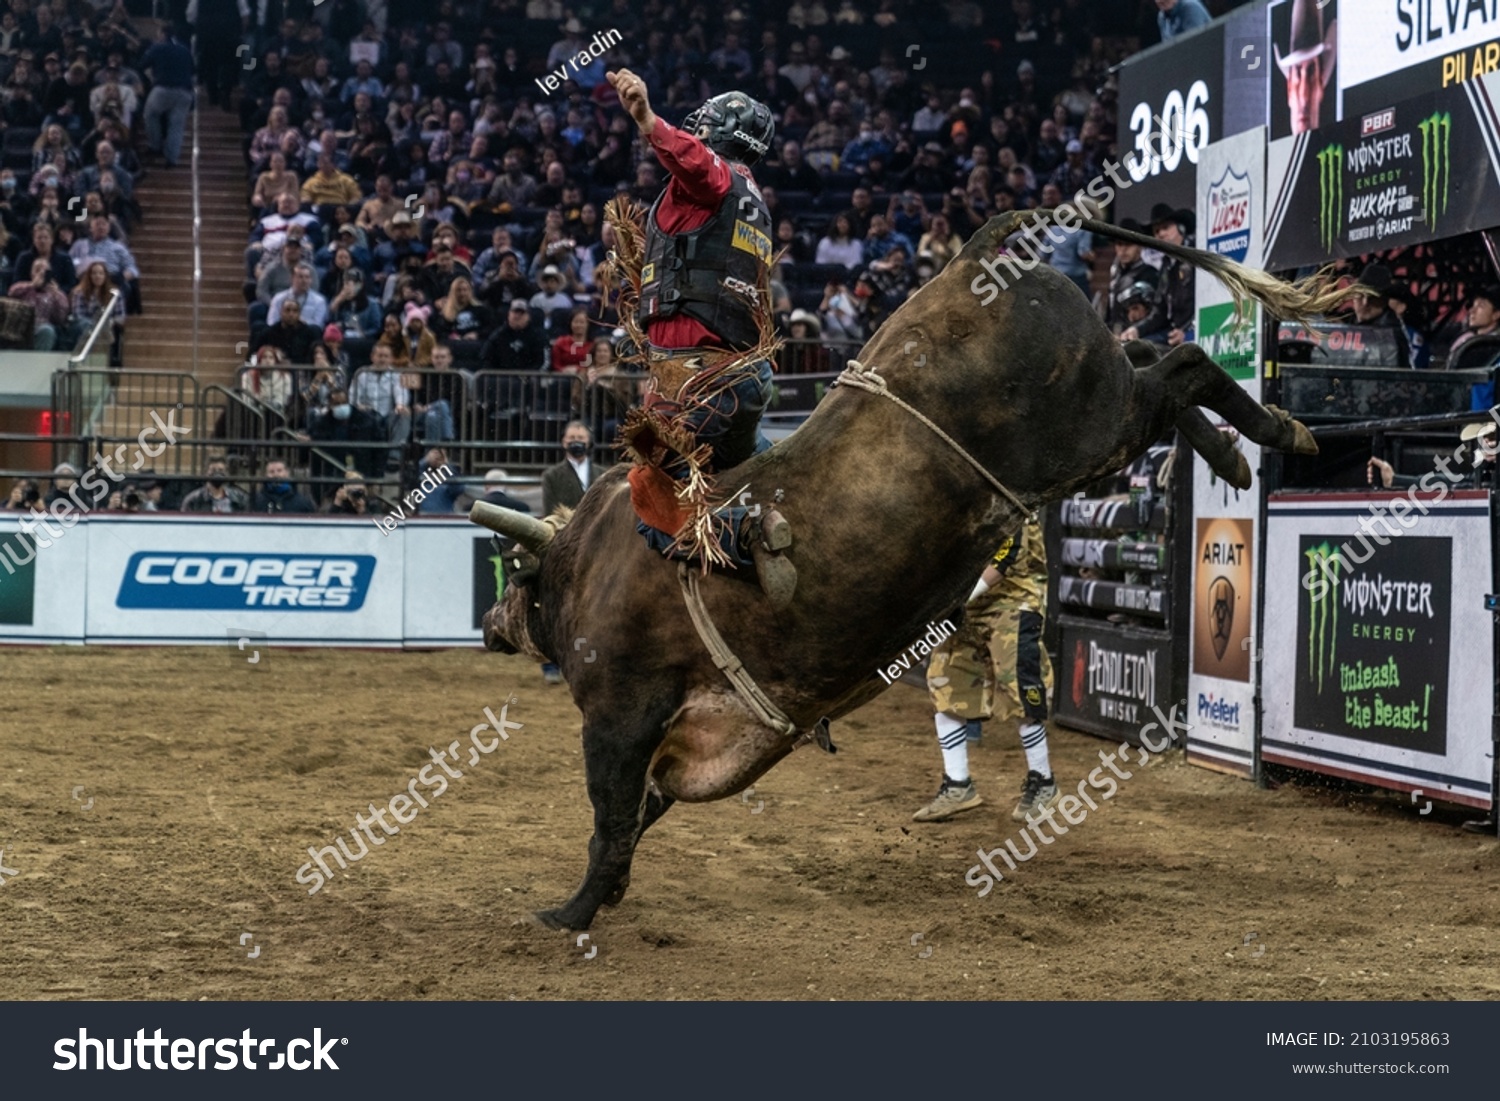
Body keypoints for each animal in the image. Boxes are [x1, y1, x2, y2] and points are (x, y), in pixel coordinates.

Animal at [471, 208, 1350, 930]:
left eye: (514, 572)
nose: (487, 625)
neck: (591, 559)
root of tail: (978, 255)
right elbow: (640, 813)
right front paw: (604, 895)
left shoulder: (619, 717)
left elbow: (611, 815)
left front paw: (571, 911)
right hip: (1103, 407)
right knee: (1157, 361)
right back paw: (1240, 451)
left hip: (1092, 422)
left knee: (1182, 363)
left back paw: (1273, 431)